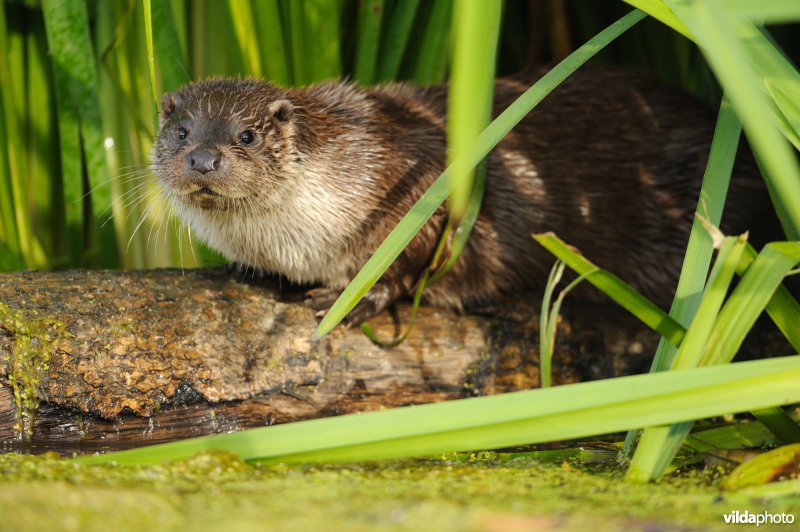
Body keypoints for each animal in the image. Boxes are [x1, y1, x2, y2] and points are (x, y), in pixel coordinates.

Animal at [151, 69, 774, 323]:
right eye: (182, 132)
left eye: (246, 135)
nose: (203, 158)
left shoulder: (411, 183)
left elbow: (414, 257)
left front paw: (356, 298)